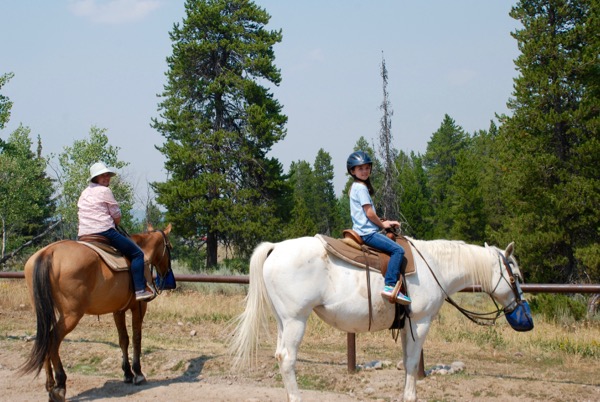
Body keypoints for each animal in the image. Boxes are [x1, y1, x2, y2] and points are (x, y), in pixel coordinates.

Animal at [19, 224, 173, 402]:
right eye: (169, 247)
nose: (166, 275)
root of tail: (48, 252)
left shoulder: (118, 310)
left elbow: (123, 340)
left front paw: (127, 373)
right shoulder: (139, 307)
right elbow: (136, 338)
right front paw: (138, 373)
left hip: (45, 313)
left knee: (44, 339)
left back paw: (50, 384)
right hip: (71, 315)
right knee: (53, 340)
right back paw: (59, 386)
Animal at [230, 235, 533, 402]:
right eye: (516, 277)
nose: (525, 317)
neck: (435, 267)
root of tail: (276, 248)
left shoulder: (408, 325)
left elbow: (407, 362)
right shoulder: (420, 322)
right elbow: (412, 363)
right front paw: (410, 397)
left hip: (284, 321)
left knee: (280, 356)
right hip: (296, 320)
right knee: (288, 359)